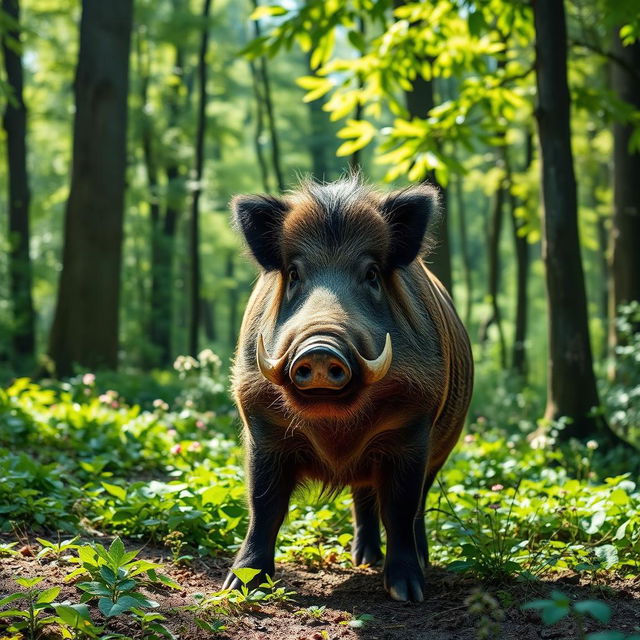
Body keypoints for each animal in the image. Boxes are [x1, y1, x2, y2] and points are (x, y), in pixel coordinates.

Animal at [223, 176, 473, 602]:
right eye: (294, 273)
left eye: (371, 274)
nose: (321, 347)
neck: (336, 432)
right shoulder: (260, 425)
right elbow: (264, 506)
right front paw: (239, 587)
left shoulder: (413, 429)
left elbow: (401, 508)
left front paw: (408, 593)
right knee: (362, 497)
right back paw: (363, 559)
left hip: (441, 450)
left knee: (415, 504)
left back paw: (408, 563)